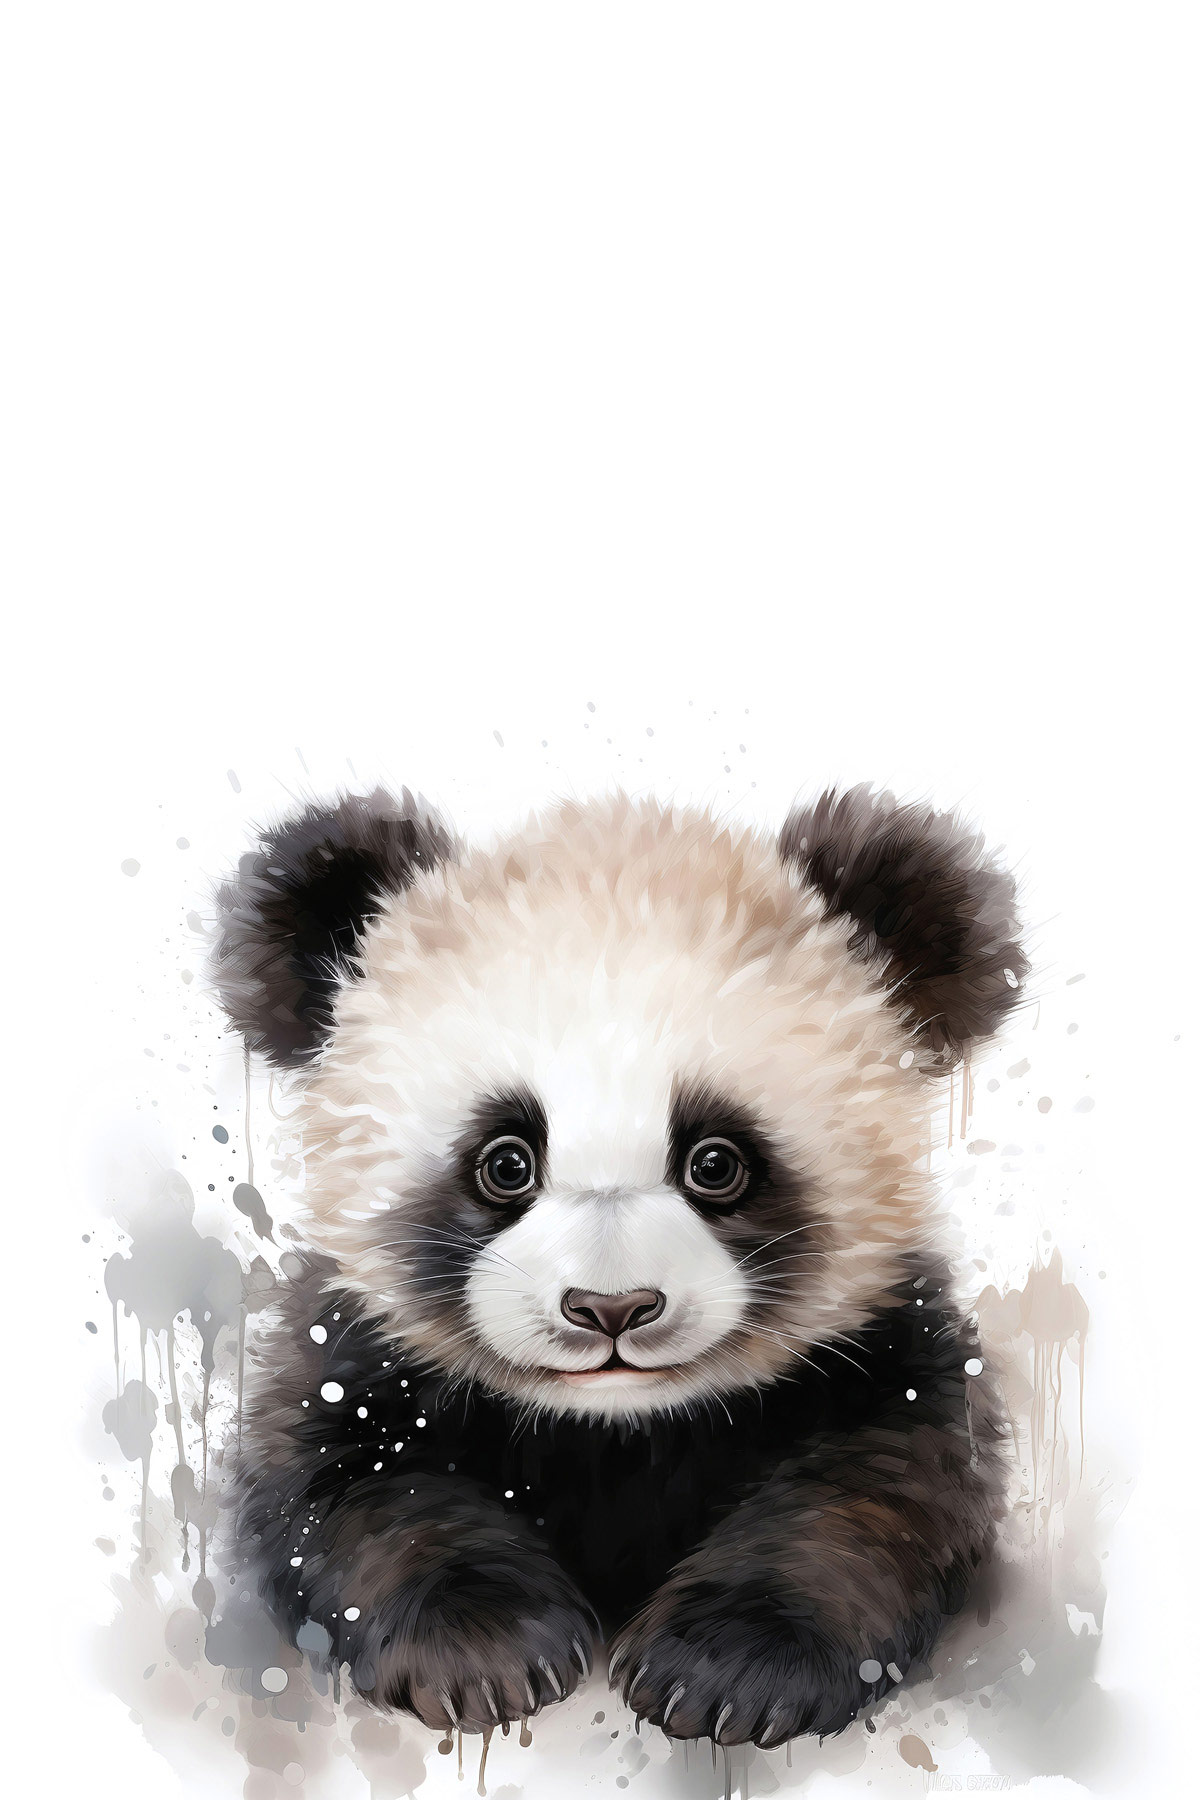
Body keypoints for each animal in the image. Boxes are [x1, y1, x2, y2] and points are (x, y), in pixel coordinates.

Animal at [211, 785, 1025, 1749]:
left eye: (716, 1163)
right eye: (505, 1162)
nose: (611, 1308)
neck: (615, 1427)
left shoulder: (885, 1337)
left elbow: (880, 1486)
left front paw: (728, 1669)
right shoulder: (352, 1340)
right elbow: (343, 1481)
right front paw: (482, 1649)